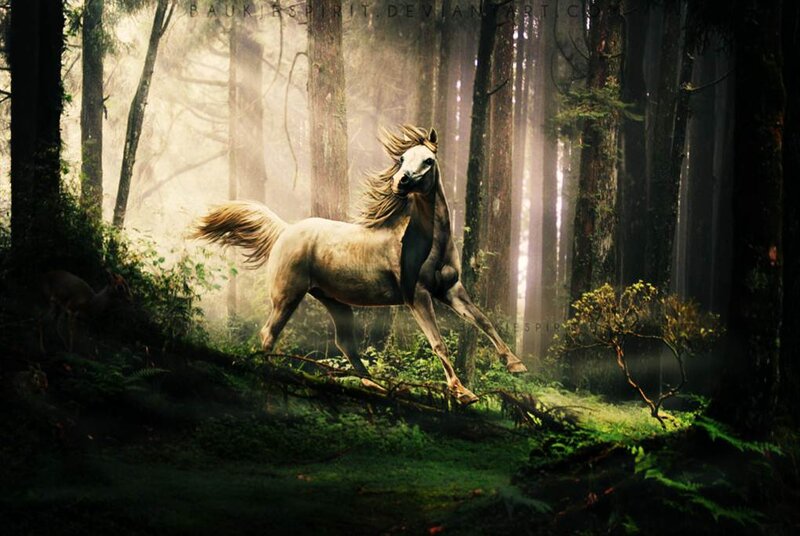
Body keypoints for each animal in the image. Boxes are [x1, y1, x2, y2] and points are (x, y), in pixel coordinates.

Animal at [192, 125, 527, 404]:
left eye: (428, 160)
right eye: (402, 158)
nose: (400, 182)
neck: (430, 242)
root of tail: (285, 230)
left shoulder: (450, 289)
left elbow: (483, 320)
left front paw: (515, 364)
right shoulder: (417, 296)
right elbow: (438, 343)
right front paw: (462, 393)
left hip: (335, 301)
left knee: (345, 344)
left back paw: (377, 387)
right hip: (287, 296)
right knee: (268, 333)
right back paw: (269, 374)